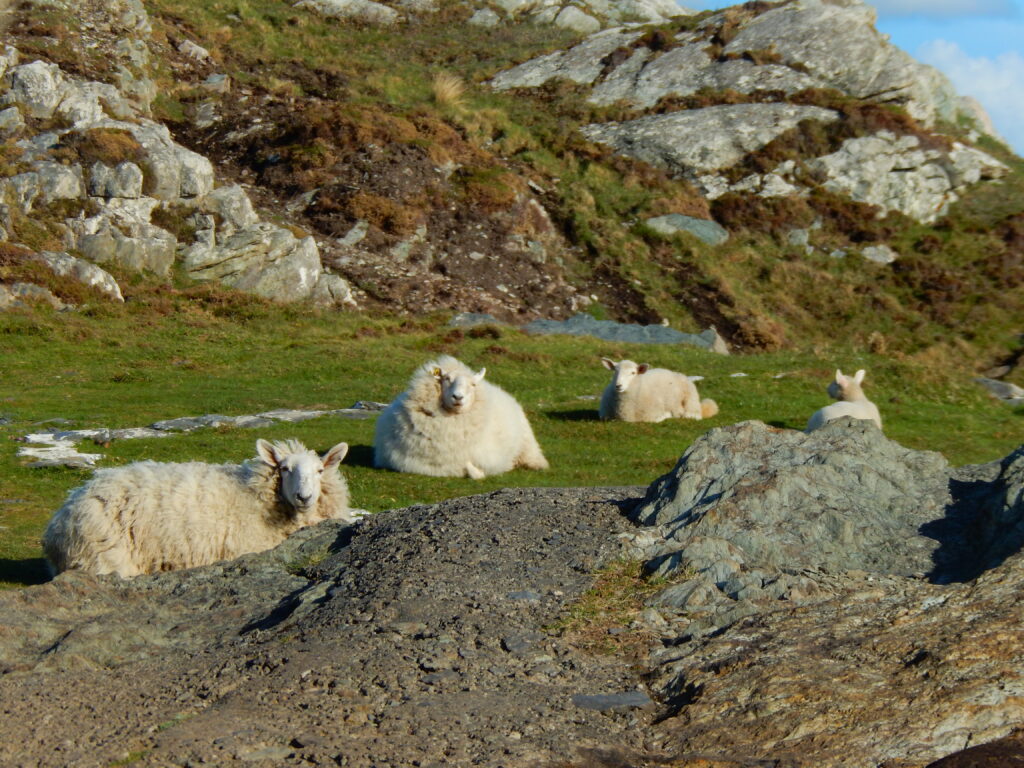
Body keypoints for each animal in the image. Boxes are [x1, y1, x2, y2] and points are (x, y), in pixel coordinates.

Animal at [374, 355, 549, 479]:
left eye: (472, 385)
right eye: (446, 379)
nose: (458, 397)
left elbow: (475, 471)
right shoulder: (408, 461)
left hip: (526, 442)